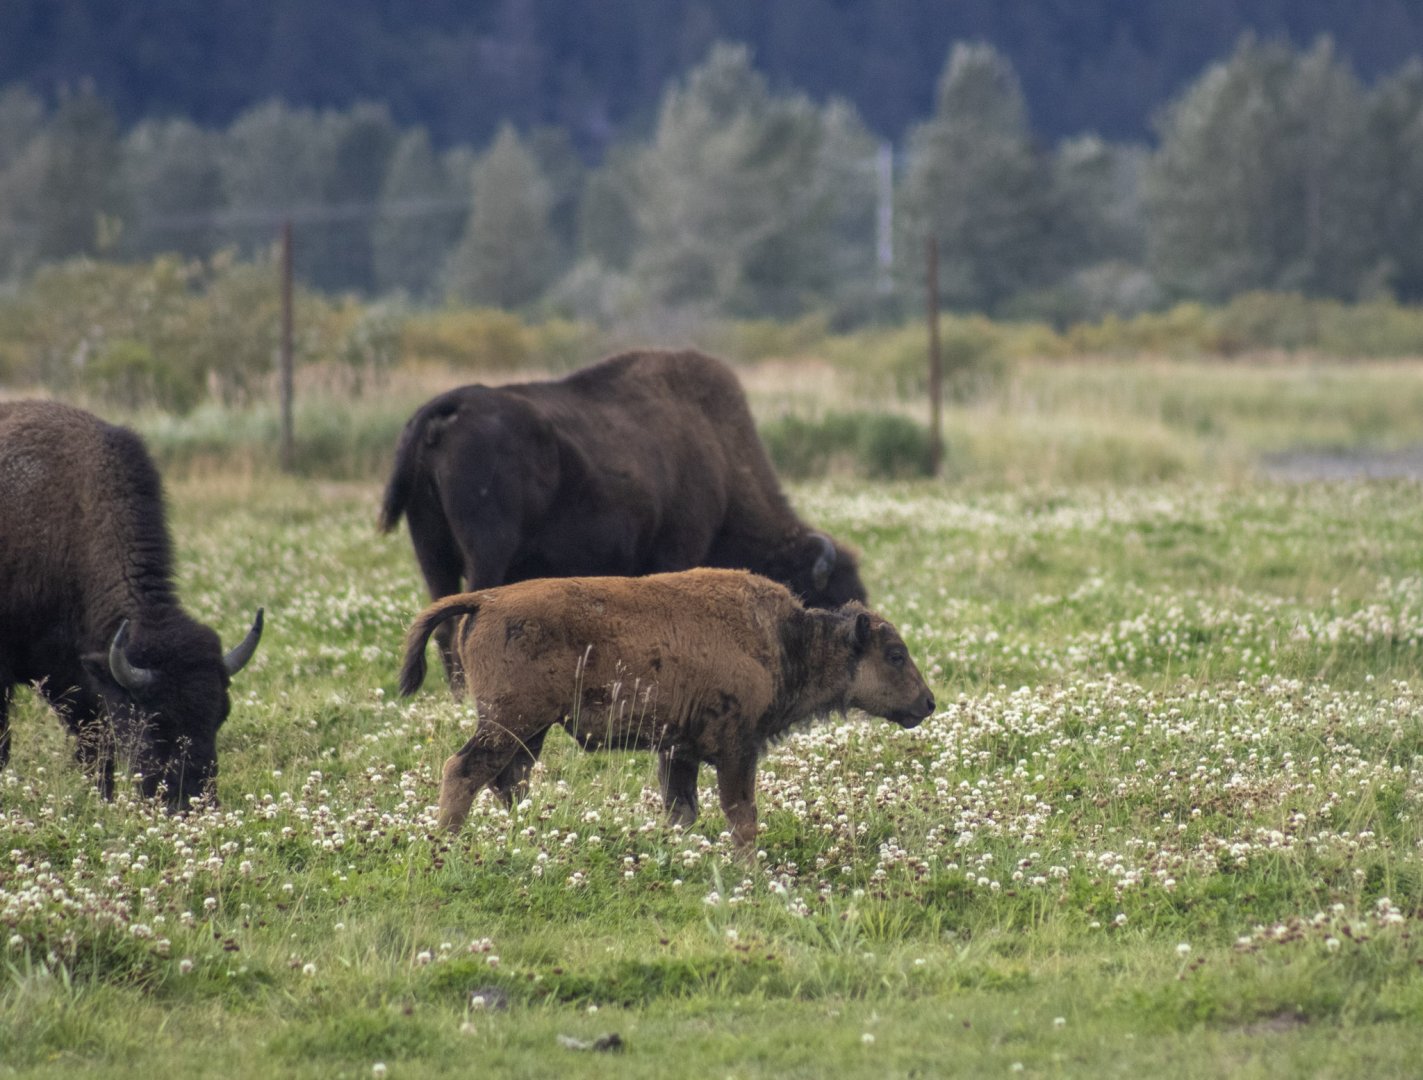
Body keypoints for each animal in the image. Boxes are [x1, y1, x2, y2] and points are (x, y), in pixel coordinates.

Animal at [378, 349, 867, 690]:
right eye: (828, 597)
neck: (721, 457)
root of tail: (448, 408)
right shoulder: (678, 551)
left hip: (431, 551)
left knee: (441, 623)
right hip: (487, 552)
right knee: (462, 621)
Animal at [397, 568, 935, 851]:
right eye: (894, 654)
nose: (927, 703)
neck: (786, 641)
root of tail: (485, 601)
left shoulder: (679, 752)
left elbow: (682, 811)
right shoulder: (736, 748)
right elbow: (741, 813)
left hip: (530, 731)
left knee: (509, 781)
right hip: (510, 722)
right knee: (464, 770)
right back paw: (446, 844)